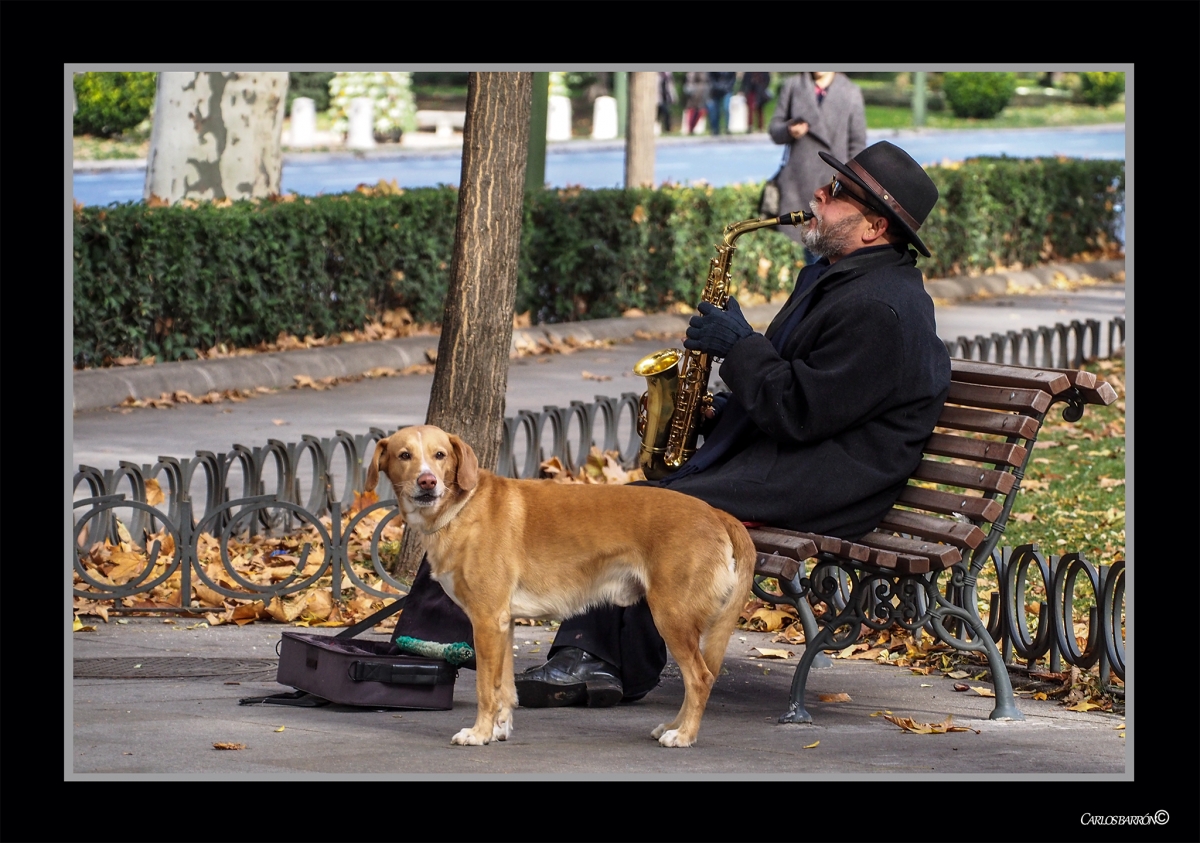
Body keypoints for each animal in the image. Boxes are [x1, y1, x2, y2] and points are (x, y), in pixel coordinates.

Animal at [364, 425, 753, 749]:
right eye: (404, 455)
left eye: (440, 455)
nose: (427, 482)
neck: (460, 509)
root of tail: (717, 514)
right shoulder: (503, 624)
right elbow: (505, 688)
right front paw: (500, 728)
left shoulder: (486, 621)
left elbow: (485, 689)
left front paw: (479, 733)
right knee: (696, 681)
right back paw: (673, 727)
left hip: (671, 616)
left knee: (700, 679)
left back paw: (685, 735)